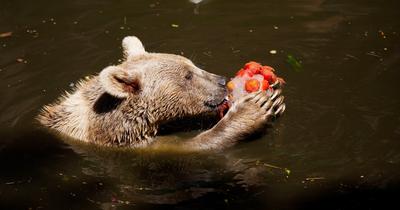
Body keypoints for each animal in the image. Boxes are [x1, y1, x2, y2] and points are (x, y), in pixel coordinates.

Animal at [36, 36, 282, 151]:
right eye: (188, 76)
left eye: (193, 65)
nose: (223, 82)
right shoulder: (129, 144)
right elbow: (187, 148)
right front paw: (254, 109)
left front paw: (275, 98)